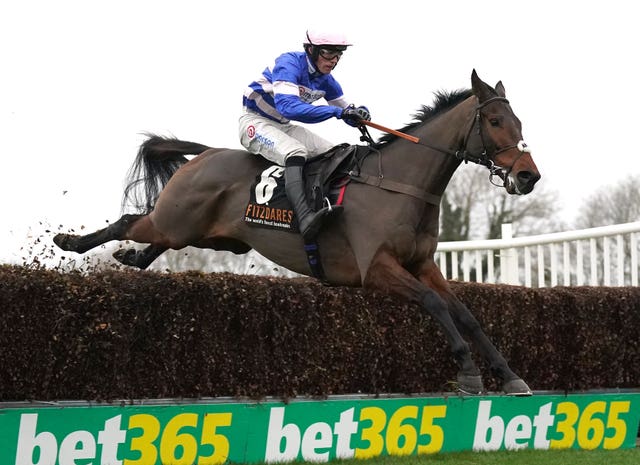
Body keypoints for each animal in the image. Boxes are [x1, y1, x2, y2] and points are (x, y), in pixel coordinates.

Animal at [53, 70, 540, 394]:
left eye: (519, 122)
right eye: (495, 122)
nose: (528, 176)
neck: (399, 183)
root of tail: (205, 153)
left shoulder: (421, 263)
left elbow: (466, 313)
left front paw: (510, 375)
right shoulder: (376, 268)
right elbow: (435, 304)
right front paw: (469, 373)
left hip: (204, 233)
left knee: (151, 240)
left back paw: (130, 257)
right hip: (175, 219)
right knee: (128, 222)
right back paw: (70, 242)